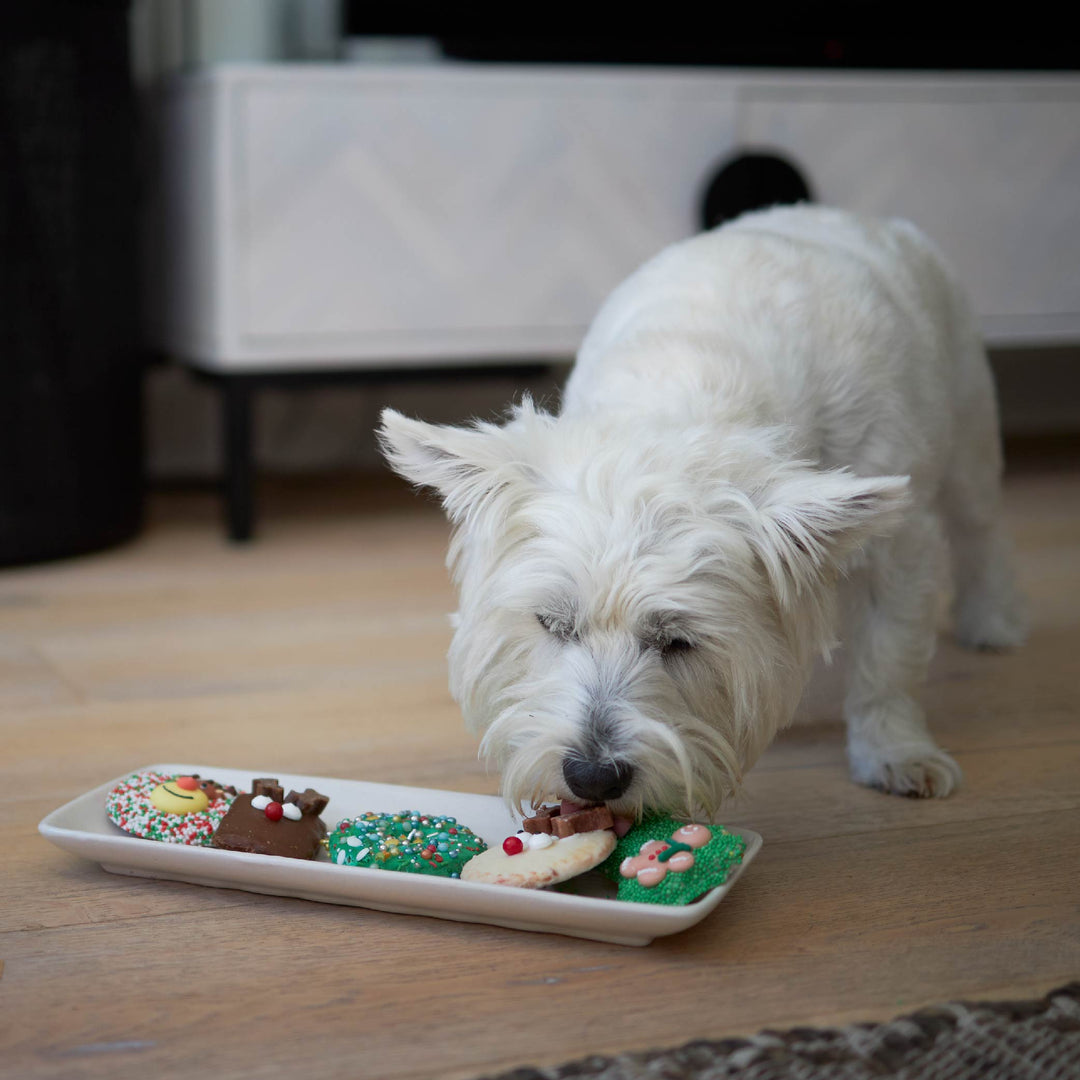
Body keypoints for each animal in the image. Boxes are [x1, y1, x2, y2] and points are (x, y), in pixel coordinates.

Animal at [384, 204, 1023, 816]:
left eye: (678, 642)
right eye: (552, 624)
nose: (592, 777)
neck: (684, 392)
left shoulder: (898, 547)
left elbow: (888, 660)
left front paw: (895, 751)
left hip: (970, 427)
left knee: (982, 530)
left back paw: (994, 622)